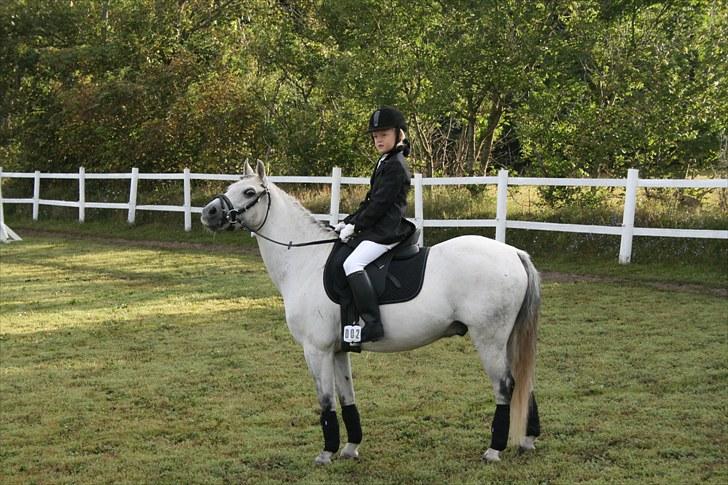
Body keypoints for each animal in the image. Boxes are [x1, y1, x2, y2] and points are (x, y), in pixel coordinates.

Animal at [200, 161, 540, 464]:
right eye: (229, 189)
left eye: (248, 192)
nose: (208, 213)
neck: (306, 261)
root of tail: (514, 253)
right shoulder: (338, 350)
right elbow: (347, 397)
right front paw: (350, 448)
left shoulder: (316, 350)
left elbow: (326, 401)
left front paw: (326, 453)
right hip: (508, 339)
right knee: (524, 383)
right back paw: (527, 441)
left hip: (490, 340)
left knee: (506, 386)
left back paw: (494, 450)